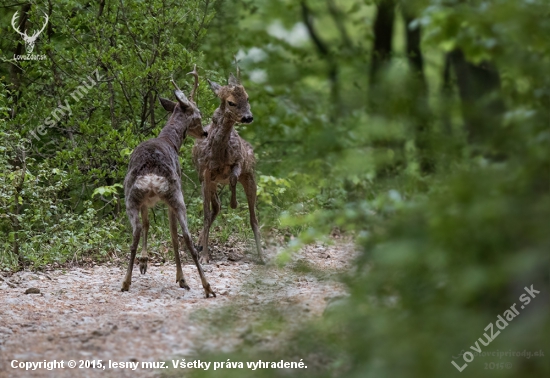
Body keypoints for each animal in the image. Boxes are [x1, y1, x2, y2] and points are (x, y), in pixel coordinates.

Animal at [122, 67, 217, 298]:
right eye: (198, 114)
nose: (205, 132)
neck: (169, 140)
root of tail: (151, 177)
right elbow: (173, 237)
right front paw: (180, 278)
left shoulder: (146, 202)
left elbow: (148, 223)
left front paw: (144, 262)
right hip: (175, 195)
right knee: (186, 237)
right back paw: (206, 286)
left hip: (131, 197)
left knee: (136, 231)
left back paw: (126, 281)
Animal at [192, 67, 266, 262]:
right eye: (231, 102)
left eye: (247, 98)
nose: (248, 117)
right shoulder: (205, 174)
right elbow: (206, 214)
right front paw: (204, 256)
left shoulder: (239, 161)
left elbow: (233, 177)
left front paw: (234, 203)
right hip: (210, 183)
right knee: (216, 207)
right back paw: (199, 245)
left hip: (250, 177)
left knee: (253, 218)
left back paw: (262, 256)